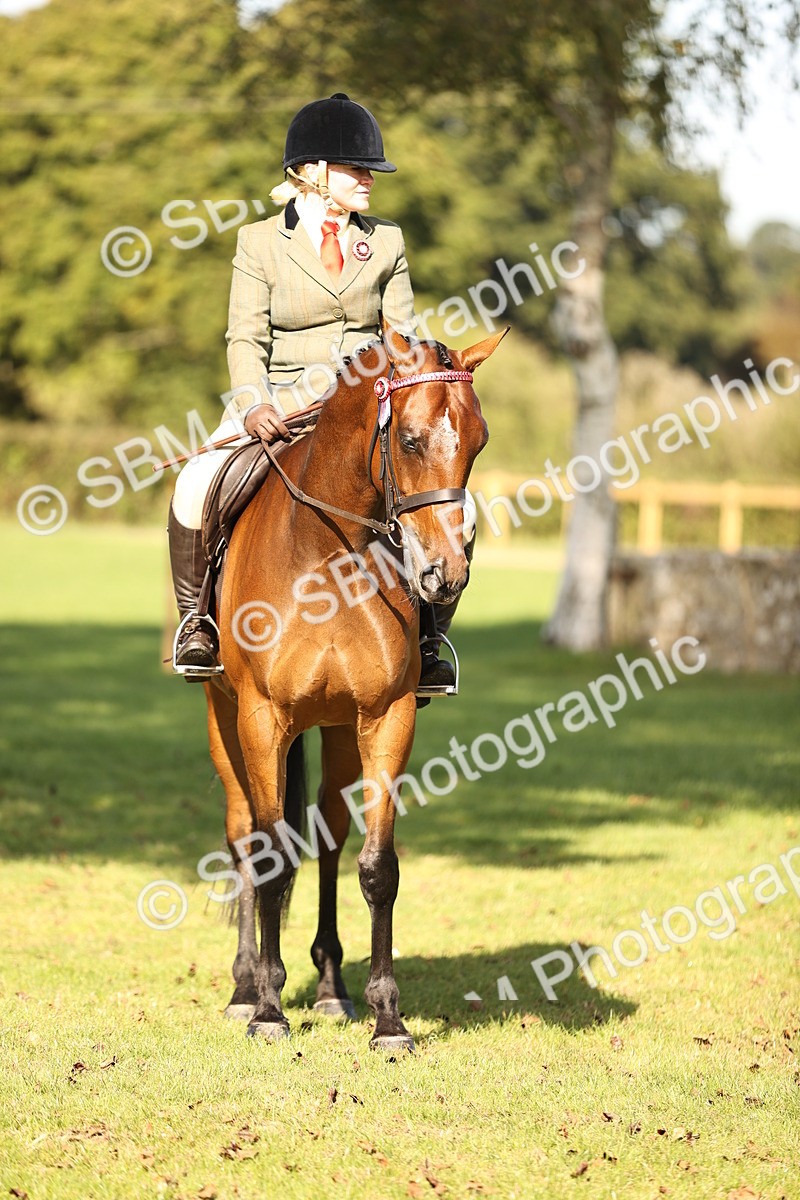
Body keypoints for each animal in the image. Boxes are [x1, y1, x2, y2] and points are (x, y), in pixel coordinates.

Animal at [203, 321, 506, 1051]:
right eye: (411, 439)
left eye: (478, 441)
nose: (446, 575)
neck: (324, 559)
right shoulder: (261, 717)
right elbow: (268, 856)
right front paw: (268, 1011)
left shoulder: (387, 718)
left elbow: (378, 866)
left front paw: (388, 1018)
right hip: (223, 718)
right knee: (244, 835)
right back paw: (245, 988)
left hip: (338, 730)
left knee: (331, 837)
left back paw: (331, 988)